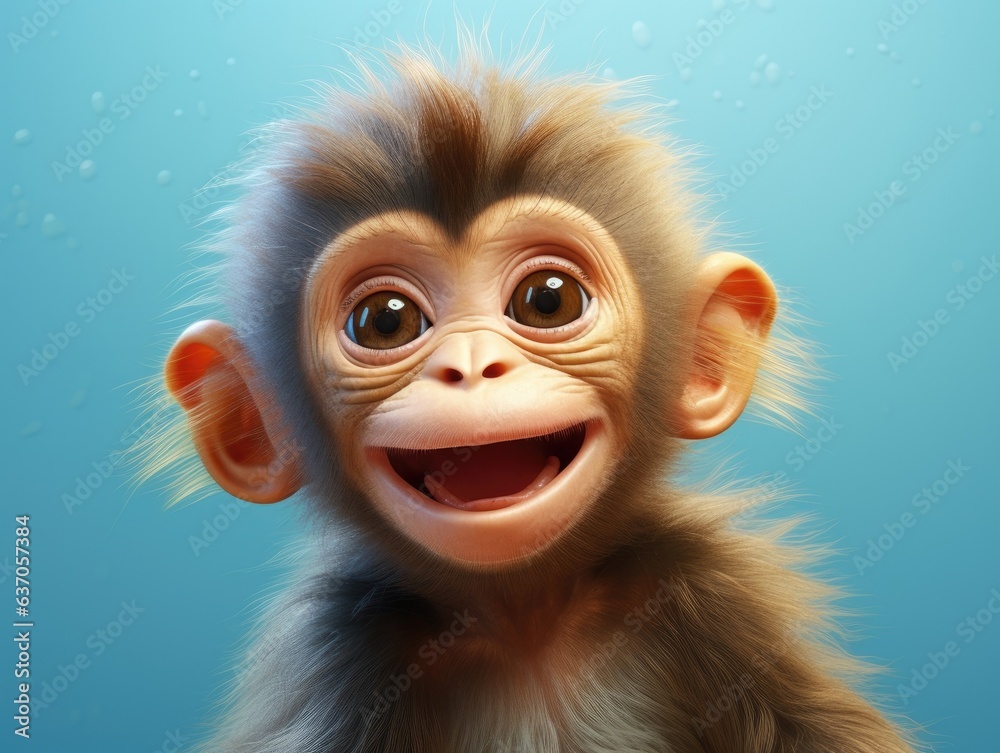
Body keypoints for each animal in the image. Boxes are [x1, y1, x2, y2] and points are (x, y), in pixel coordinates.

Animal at [143, 38, 919, 753]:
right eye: (385, 321)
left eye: (548, 300)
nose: (472, 367)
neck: (525, 619)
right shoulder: (340, 654)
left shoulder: (717, 587)